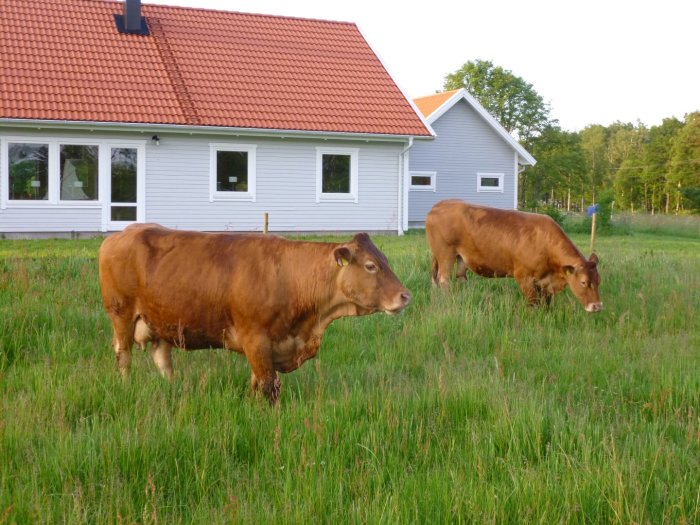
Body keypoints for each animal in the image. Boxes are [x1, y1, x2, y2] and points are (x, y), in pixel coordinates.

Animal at [98, 223, 410, 404]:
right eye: (370, 266)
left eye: (384, 260)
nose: (405, 295)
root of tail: (121, 234)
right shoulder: (255, 339)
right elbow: (269, 385)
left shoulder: (267, 346)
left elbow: (257, 382)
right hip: (121, 314)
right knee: (124, 357)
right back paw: (126, 386)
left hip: (162, 321)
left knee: (162, 359)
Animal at [426, 201, 600, 312]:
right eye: (583, 282)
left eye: (599, 281)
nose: (597, 306)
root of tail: (439, 205)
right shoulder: (524, 277)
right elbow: (534, 302)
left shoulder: (545, 282)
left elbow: (546, 303)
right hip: (445, 254)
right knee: (443, 279)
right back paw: (448, 300)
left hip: (460, 257)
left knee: (459, 277)